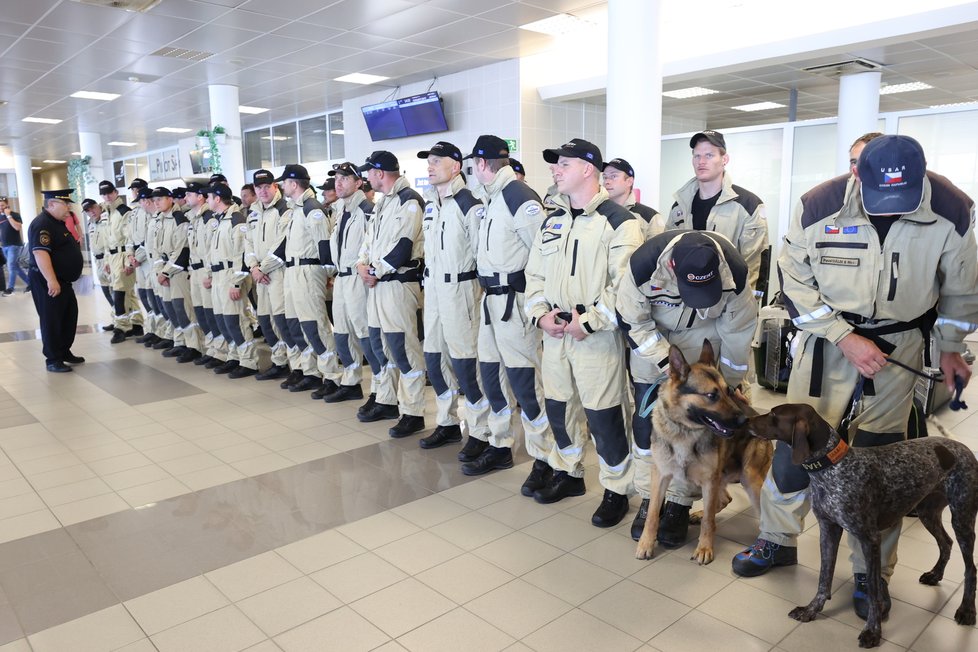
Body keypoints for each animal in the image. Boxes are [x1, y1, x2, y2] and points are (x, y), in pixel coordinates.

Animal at [632, 342, 772, 564]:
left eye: (728, 391)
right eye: (711, 395)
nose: (744, 421)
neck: (684, 431)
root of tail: (756, 414)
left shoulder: (709, 480)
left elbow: (709, 520)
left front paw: (705, 548)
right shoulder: (660, 476)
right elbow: (653, 513)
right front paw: (646, 543)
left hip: (749, 479)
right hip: (721, 477)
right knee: (725, 499)